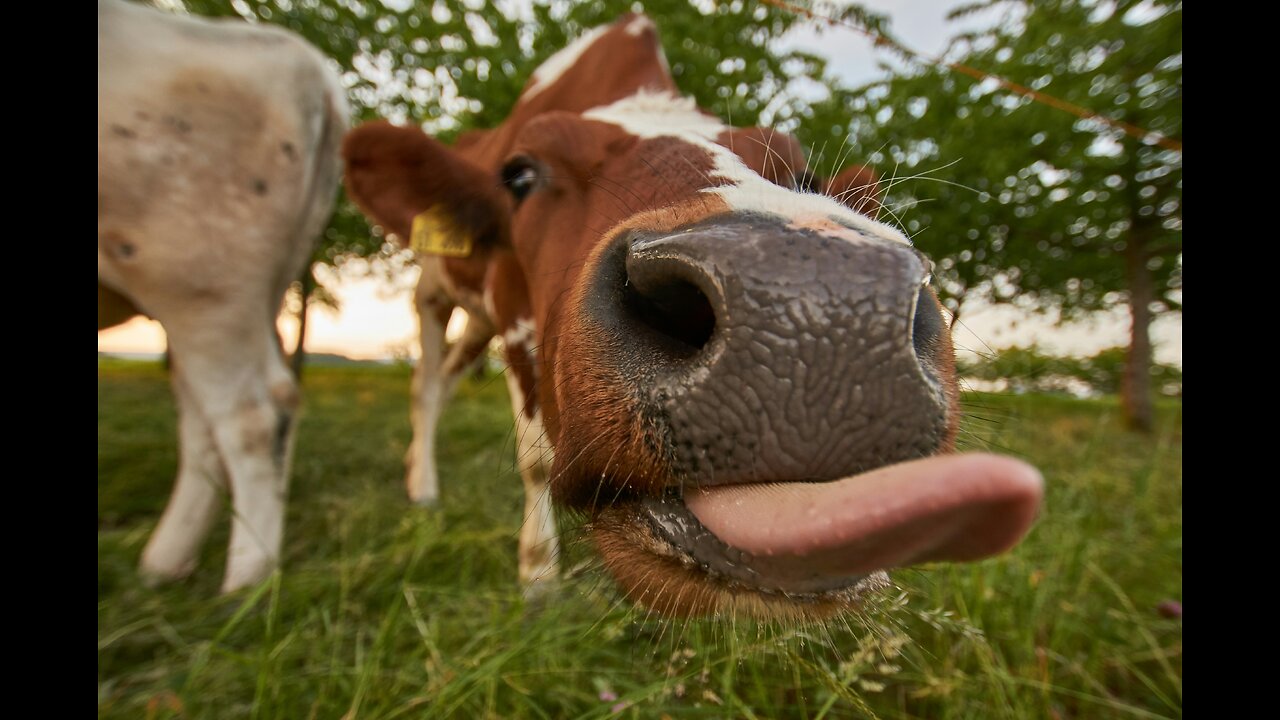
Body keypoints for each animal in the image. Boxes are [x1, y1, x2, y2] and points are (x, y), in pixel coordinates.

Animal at [98, 0, 350, 591]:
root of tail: (314, 70)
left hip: (200, 276)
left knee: (249, 415)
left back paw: (245, 581)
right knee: (206, 422)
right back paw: (166, 565)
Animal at [345, 14, 1044, 614]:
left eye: (805, 175)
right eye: (519, 175)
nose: (816, 311)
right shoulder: (513, 310)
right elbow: (537, 458)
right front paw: (538, 580)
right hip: (434, 292)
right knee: (426, 384)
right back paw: (423, 488)